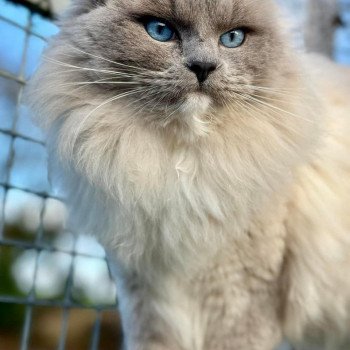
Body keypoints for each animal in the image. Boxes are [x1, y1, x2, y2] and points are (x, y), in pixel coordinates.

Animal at [26, 0, 350, 348]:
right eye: (160, 31)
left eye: (232, 38)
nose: (203, 67)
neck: (182, 167)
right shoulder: (146, 300)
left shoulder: (242, 299)